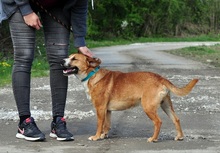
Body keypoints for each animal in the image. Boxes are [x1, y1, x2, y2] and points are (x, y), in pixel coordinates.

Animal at [61, 53, 199, 142]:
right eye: (69, 56)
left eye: (74, 58)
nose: (62, 61)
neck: (91, 74)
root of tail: (160, 78)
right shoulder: (107, 110)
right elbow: (107, 125)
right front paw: (103, 136)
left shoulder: (100, 109)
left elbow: (100, 125)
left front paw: (96, 137)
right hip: (166, 105)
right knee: (176, 119)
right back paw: (179, 136)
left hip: (148, 107)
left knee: (158, 122)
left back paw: (153, 139)